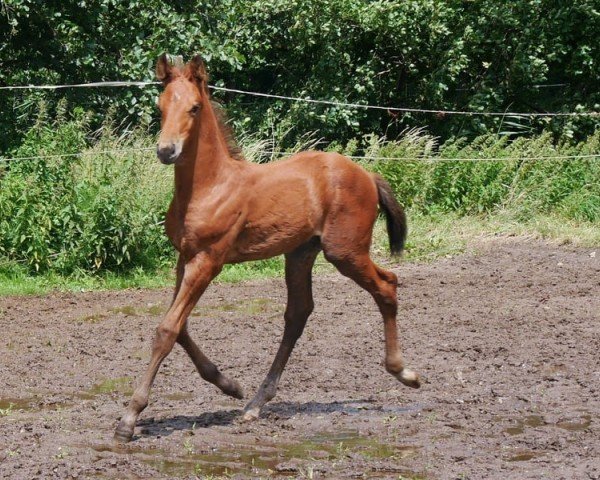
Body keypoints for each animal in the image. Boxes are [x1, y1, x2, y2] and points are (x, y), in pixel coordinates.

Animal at [115, 55, 420, 442]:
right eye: (161, 106)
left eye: (195, 108)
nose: (166, 151)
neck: (210, 187)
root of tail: (368, 174)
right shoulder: (184, 258)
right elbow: (180, 326)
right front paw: (229, 385)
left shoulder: (208, 260)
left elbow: (167, 330)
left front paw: (129, 418)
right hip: (301, 252)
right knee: (298, 313)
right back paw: (255, 403)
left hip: (344, 251)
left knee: (387, 284)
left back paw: (404, 372)